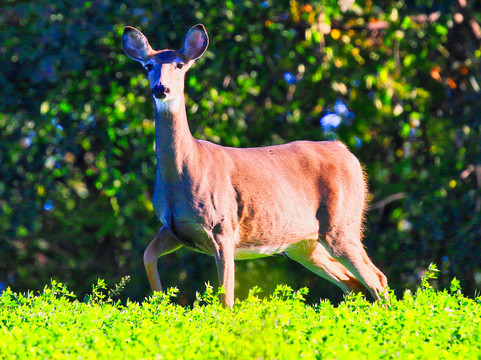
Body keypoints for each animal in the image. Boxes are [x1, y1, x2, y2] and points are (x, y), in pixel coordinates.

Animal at [121, 23, 386, 308]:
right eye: (149, 66)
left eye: (180, 65)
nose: (161, 89)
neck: (184, 170)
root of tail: (346, 151)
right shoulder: (174, 228)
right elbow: (147, 255)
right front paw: (160, 305)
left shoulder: (222, 225)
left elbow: (226, 297)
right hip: (303, 244)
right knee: (353, 283)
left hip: (342, 223)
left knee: (376, 278)